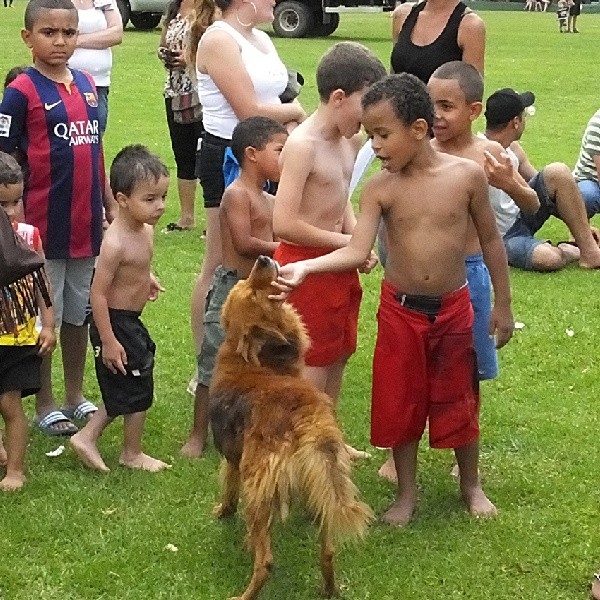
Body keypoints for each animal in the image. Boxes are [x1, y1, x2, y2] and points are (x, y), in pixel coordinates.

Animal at [209, 254, 372, 600]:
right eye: (250, 289)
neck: (248, 359)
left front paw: (222, 511)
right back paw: (329, 590)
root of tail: (307, 416)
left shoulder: (232, 460)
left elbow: (228, 488)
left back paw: (244, 594)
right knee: (328, 551)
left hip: (256, 488)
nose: (264, 258)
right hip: (326, 475)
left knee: (265, 561)